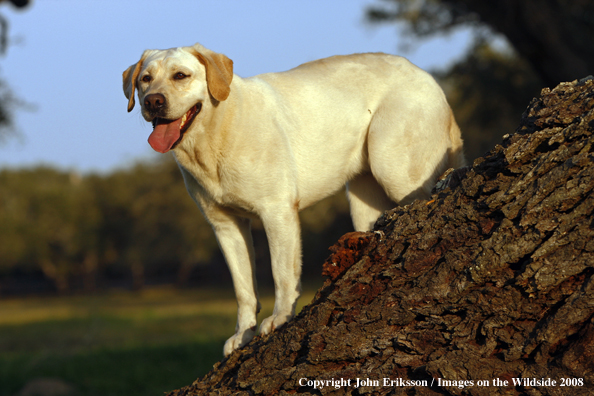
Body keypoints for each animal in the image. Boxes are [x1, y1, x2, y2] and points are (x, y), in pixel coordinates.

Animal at [121, 42, 462, 356]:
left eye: (180, 75)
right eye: (145, 80)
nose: (153, 101)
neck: (213, 136)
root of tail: (426, 76)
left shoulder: (277, 212)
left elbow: (282, 274)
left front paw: (280, 318)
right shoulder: (225, 226)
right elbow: (243, 288)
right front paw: (243, 334)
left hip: (395, 167)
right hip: (364, 199)